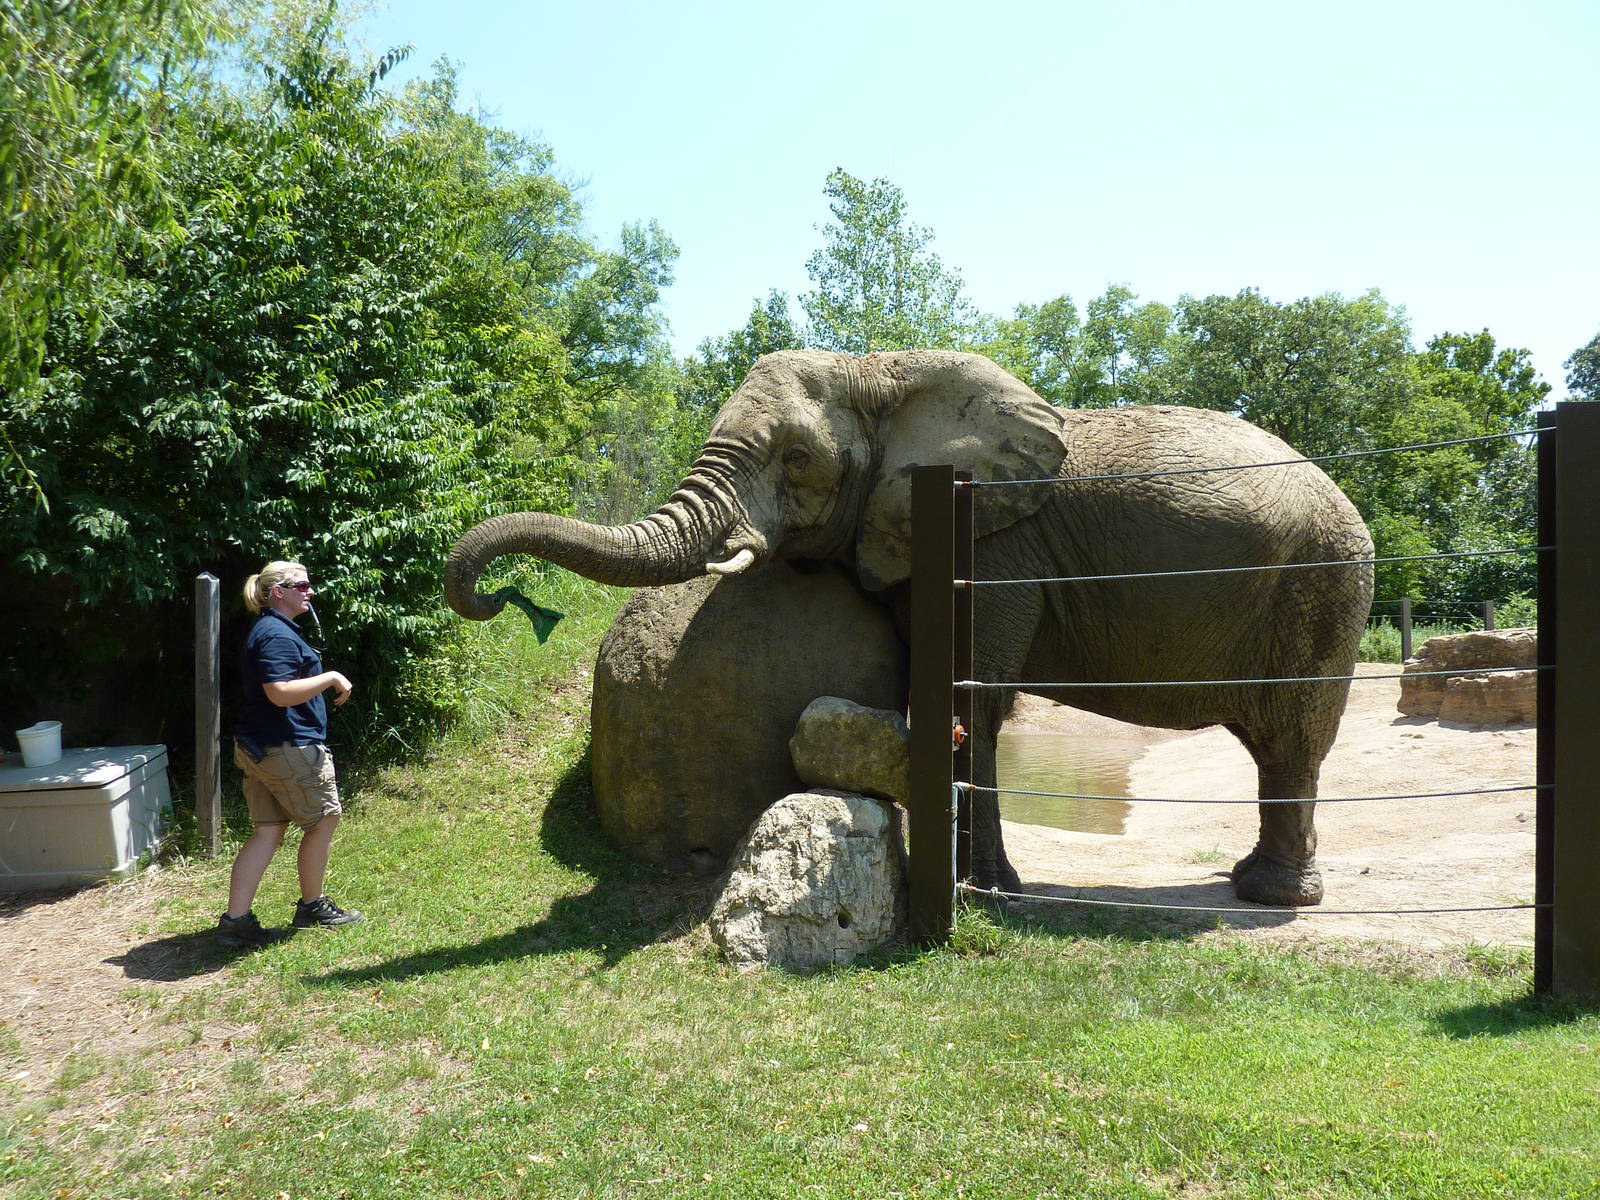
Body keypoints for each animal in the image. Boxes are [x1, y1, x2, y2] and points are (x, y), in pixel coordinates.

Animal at [445, 350, 1374, 906]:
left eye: (797, 461)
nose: (491, 598)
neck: (881, 368)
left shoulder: (993, 547)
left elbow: (975, 696)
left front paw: (988, 895)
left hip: (1323, 585)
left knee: (1292, 736)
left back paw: (1270, 899)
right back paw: (1256, 885)